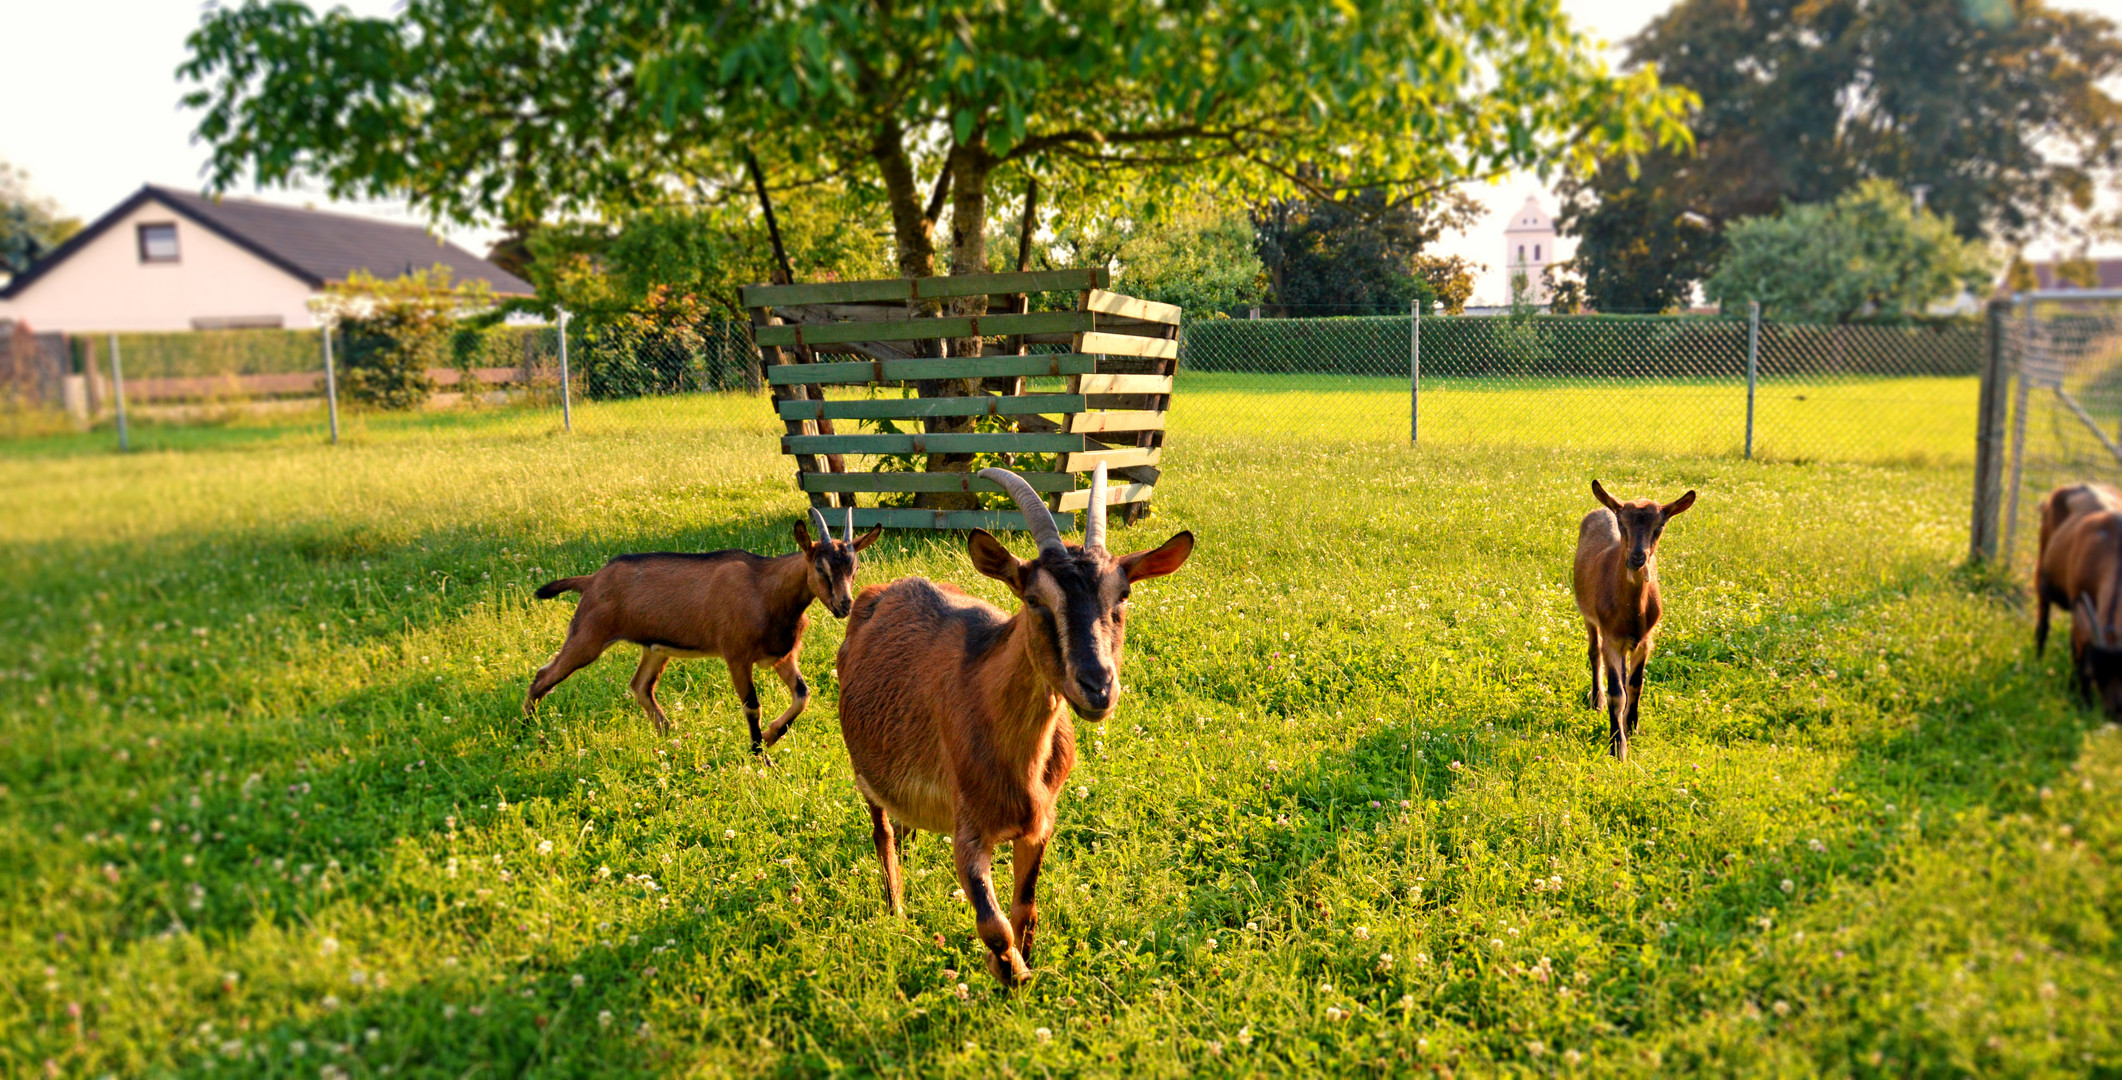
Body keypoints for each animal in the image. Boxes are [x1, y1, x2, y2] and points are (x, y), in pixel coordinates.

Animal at [526, 507, 882, 755]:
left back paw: (669, 735)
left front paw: (770, 736)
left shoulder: (781, 656)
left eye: (854, 568)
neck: (766, 589)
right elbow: (752, 705)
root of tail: (591, 580)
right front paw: (760, 757)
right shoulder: (736, 655)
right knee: (544, 675)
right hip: (589, 634)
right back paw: (530, 729)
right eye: (820, 568)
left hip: (654, 649)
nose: (844, 605)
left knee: (641, 686)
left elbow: (802, 695)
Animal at [831, 462, 1196, 984]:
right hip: (865, 772)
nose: (1098, 686)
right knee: (883, 835)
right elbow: (994, 925)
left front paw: (1025, 968)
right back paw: (896, 909)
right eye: (1035, 600)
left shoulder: (1040, 824)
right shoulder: (968, 831)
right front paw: (1012, 974)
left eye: (1122, 595)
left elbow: (1025, 910)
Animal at [1578, 475, 1689, 763]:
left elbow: (1636, 684)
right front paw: (1617, 746)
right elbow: (1616, 693)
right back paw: (1596, 700)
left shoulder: (1647, 639)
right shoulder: (1611, 639)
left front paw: (1632, 726)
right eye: (1622, 523)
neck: (1630, 612)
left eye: (1660, 526)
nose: (1638, 557)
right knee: (1593, 652)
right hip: (1588, 615)